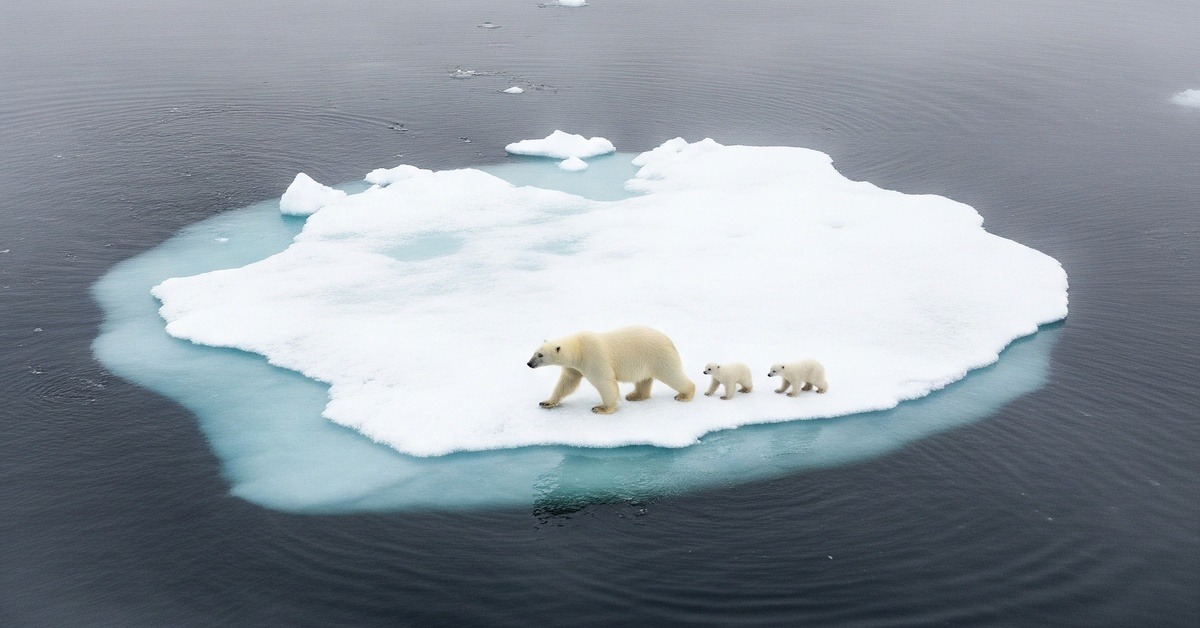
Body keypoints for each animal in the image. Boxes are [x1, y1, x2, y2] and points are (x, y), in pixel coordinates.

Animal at [527, 325, 696, 414]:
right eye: (534, 352)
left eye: (540, 355)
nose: (529, 363)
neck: (578, 348)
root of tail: (670, 341)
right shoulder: (573, 367)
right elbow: (567, 383)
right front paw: (546, 402)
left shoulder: (593, 357)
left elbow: (604, 382)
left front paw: (601, 407)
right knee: (643, 380)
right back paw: (635, 395)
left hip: (658, 356)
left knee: (672, 374)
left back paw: (684, 395)